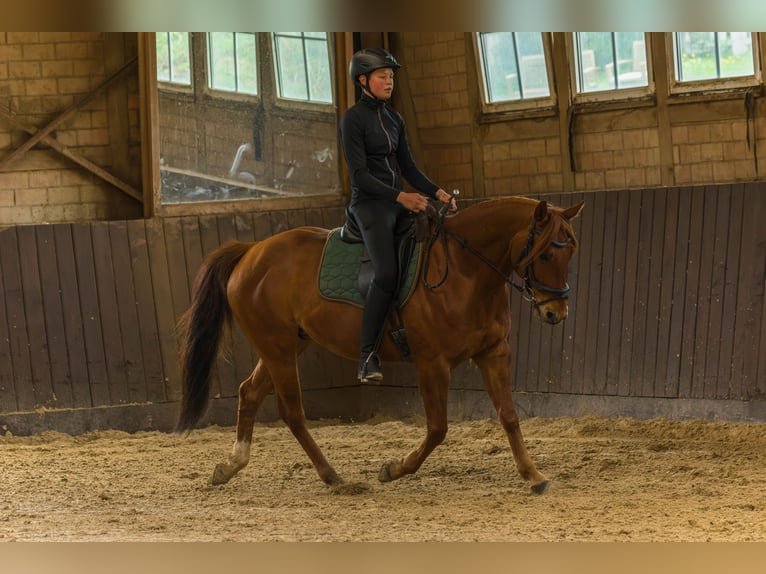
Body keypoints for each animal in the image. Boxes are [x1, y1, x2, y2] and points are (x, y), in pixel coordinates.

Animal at [178, 197, 588, 496]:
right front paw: (394, 469)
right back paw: (334, 478)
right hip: (277, 349)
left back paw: (230, 466)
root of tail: (252, 251)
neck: (465, 270)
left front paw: (533, 474)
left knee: (249, 392)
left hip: (287, 345)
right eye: (546, 254)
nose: (556, 313)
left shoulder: (493, 353)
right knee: (291, 412)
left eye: (571, 253)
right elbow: (438, 428)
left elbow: (509, 415)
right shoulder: (432, 363)